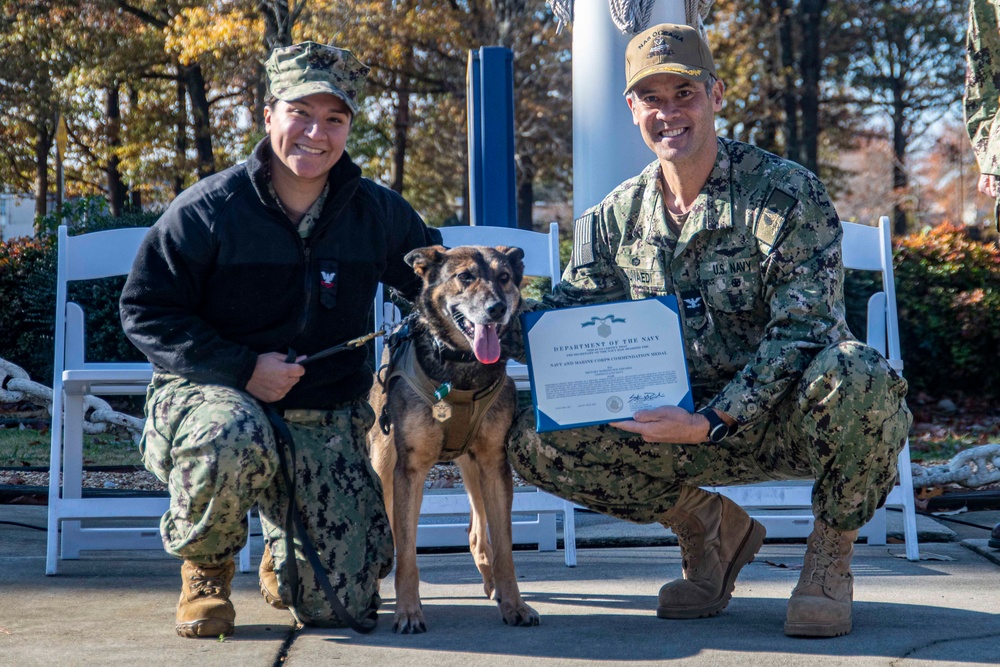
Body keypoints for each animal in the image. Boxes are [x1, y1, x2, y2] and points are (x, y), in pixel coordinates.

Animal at [368, 247, 540, 636]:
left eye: (504, 277)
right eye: (465, 277)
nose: (496, 309)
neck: (460, 367)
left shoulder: (493, 463)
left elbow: (504, 548)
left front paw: (515, 604)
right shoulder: (410, 471)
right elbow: (406, 552)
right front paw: (408, 612)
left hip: (473, 468)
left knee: (477, 532)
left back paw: (493, 585)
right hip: (383, 466)